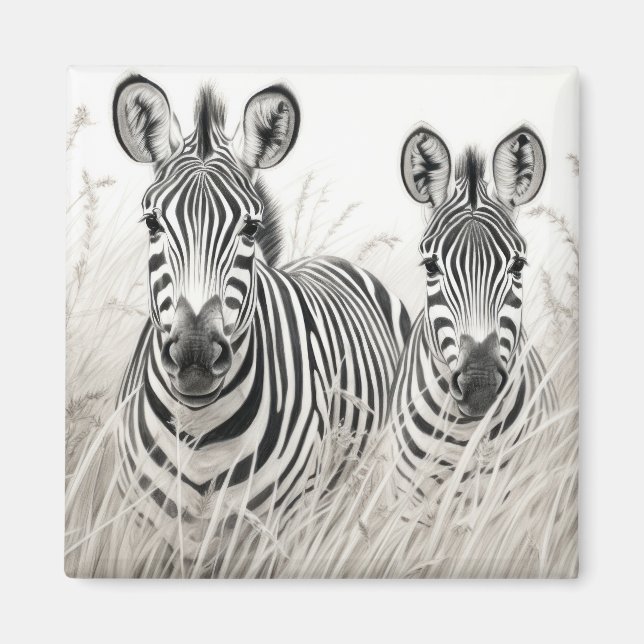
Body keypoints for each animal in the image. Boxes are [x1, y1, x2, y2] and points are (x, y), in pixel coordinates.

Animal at [112, 74, 410, 557]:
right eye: (152, 224)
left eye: (250, 228)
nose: (195, 355)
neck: (199, 433)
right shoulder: (143, 527)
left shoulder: (273, 533)